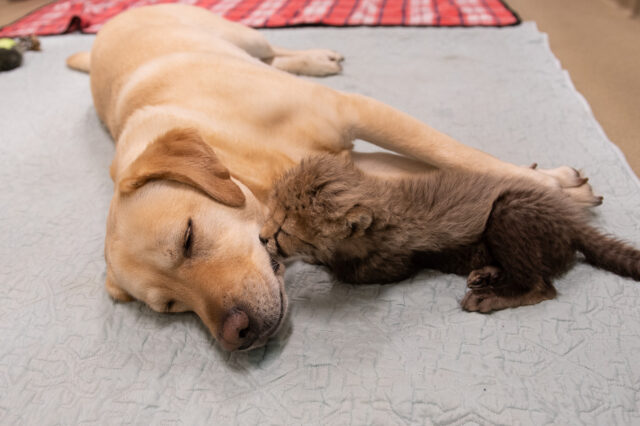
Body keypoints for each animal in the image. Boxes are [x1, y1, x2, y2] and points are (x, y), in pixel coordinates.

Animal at [67, 3, 596, 352]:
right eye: (172, 308)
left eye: (188, 238)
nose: (237, 336)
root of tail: (107, 26)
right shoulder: (358, 170)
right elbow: (438, 171)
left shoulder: (356, 112)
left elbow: (454, 153)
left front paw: (552, 186)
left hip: (238, 34)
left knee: (272, 46)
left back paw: (317, 57)